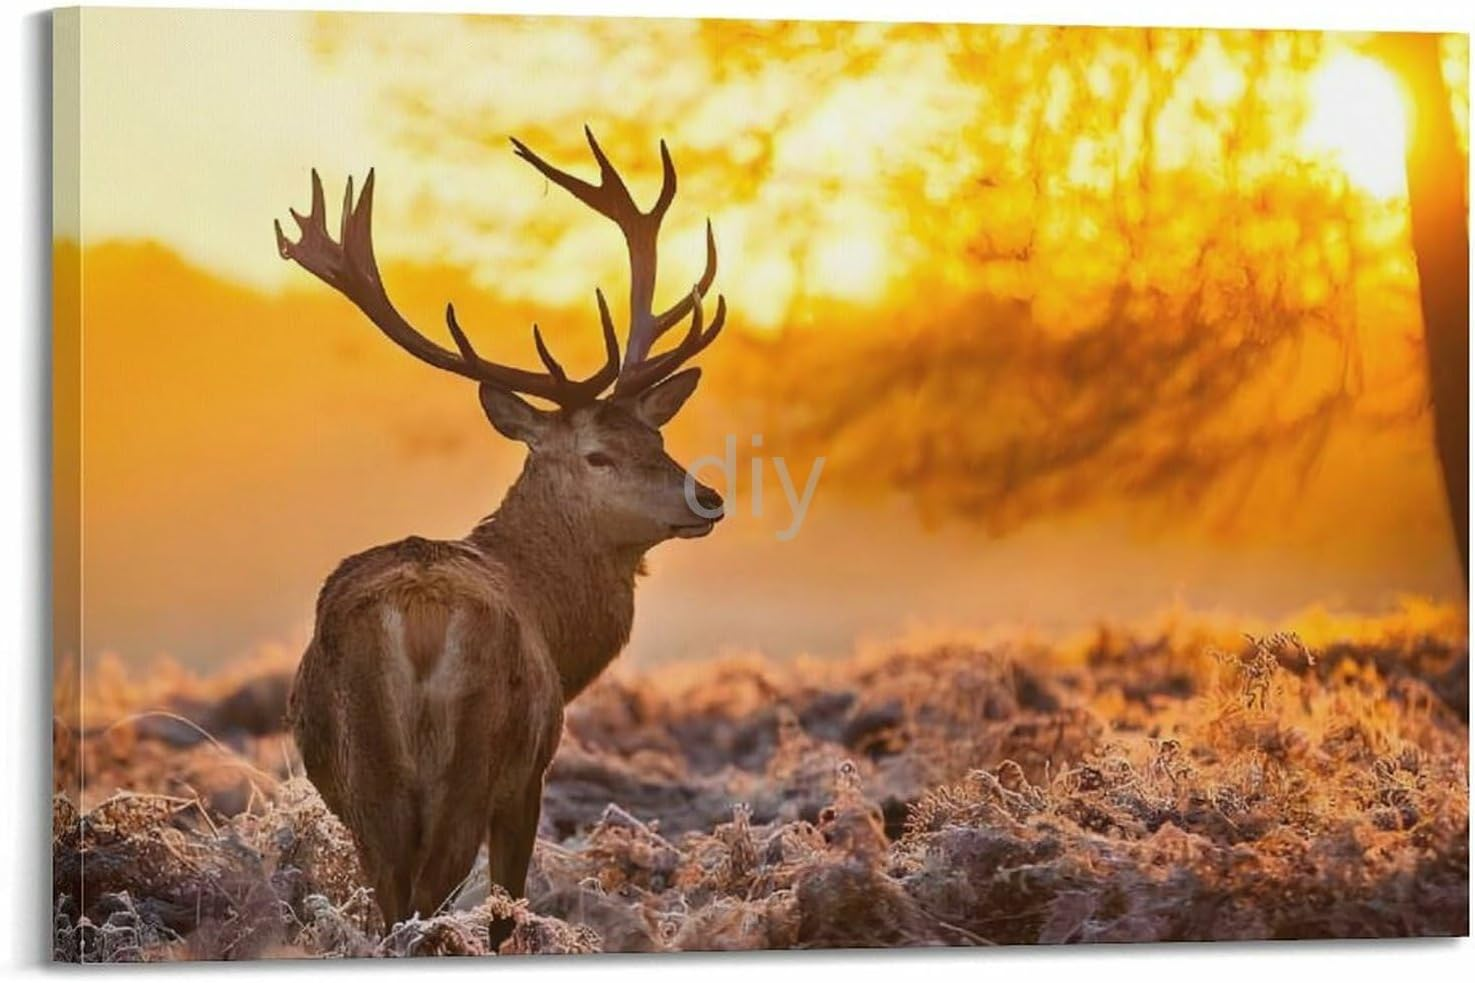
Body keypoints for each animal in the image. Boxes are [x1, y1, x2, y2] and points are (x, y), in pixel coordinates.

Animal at [275, 128, 727, 934]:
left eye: (657, 436)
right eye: (598, 453)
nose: (705, 496)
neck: (558, 626)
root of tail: (417, 617)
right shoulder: (530, 773)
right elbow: (508, 906)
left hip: (368, 780)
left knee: (393, 901)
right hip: (477, 756)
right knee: (432, 896)